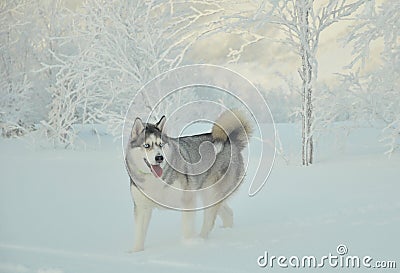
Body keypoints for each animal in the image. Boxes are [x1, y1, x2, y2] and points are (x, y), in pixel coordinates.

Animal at [125, 109, 252, 251]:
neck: (155, 180)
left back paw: (201, 240)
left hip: (211, 194)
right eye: (147, 145)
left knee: (209, 221)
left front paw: (188, 245)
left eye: (161, 145)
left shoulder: (188, 199)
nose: (159, 158)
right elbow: (139, 234)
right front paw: (136, 252)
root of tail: (231, 141)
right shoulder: (142, 207)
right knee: (228, 213)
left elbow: (187, 228)